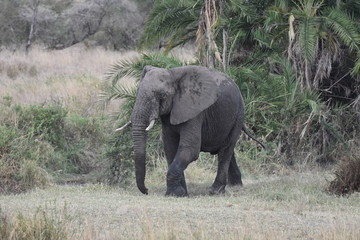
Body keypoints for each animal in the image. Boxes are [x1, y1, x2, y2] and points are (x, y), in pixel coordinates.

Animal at [119, 65, 266, 197]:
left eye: (162, 95)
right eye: (137, 91)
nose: (147, 190)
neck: (172, 73)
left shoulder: (195, 111)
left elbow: (190, 149)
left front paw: (175, 194)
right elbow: (170, 148)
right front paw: (180, 193)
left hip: (238, 115)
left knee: (226, 150)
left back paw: (215, 192)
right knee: (226, 150)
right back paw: (234, 186)